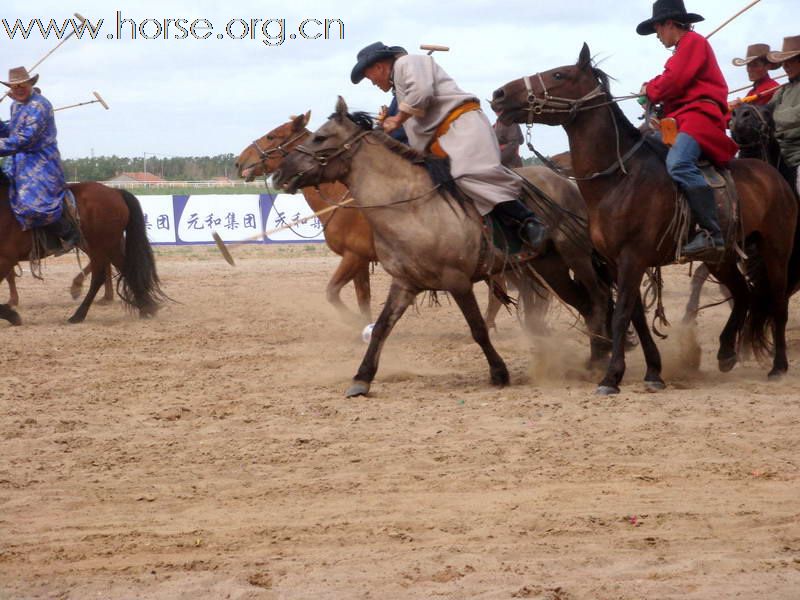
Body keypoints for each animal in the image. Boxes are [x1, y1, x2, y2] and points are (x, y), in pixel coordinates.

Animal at [0, 171, 166, 326]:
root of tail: (115, 191)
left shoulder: (6, 258)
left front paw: (12, 314)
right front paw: (12, 307)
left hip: (101, 244)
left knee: (101, 275)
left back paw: (78, 314)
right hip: (105, 245)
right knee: (124, 268)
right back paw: (146, 307)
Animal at [494, 47, 800, 394]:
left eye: (559, 74)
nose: (499, 94)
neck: (620, 178)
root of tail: (775, 177)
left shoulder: (632, 257)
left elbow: (621, 314)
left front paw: (611, 377)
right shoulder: (616, 262)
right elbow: (636, 316)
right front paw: (653, 371)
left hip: (776, 251)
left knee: (777, 304)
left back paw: (778, 366)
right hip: (721, 258)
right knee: (744, 294)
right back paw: (725, 352)